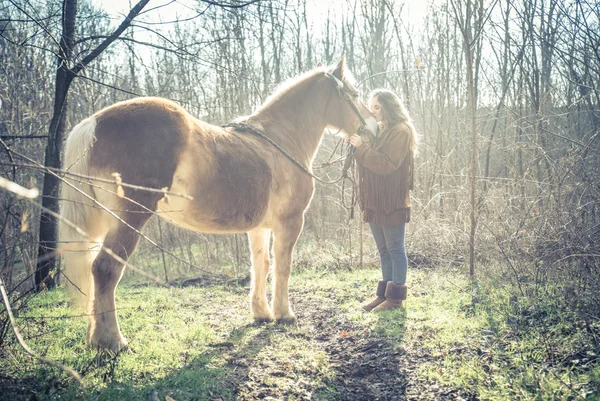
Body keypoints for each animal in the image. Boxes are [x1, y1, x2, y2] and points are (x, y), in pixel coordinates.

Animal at [57, 57, 376, 352]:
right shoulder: (290, 222)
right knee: (106, 269)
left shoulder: (259, 227)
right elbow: (283, 266)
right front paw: (284, 314)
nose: (373, 128)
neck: (281, 140)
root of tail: (93, 123)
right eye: (355, 93)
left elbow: (261, 265)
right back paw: (113, 341)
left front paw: (262, 313)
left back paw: (95, 337)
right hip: (130, 217)